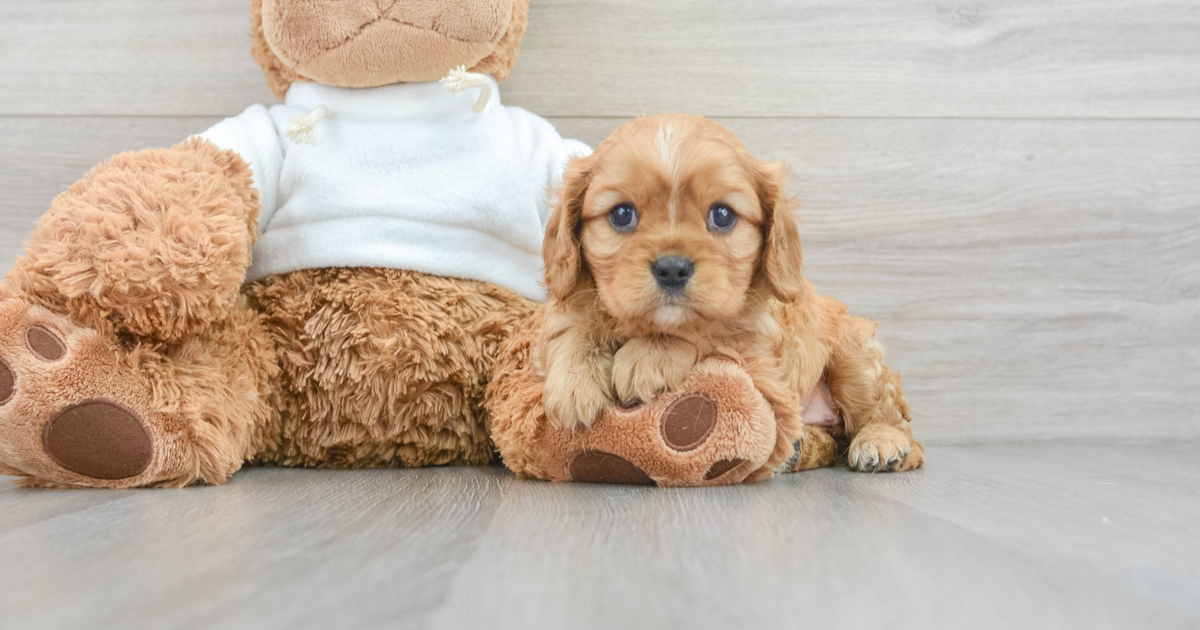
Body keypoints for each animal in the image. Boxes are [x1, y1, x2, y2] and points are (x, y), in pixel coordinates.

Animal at [540, 114, 921, 470]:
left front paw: (650, 356)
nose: (672, 268)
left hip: (855, 357)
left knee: (893, 419)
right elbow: (572, 326)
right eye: (621, 214)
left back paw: (882, 443)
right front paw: (574, 383)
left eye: (722, 215)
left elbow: (711, 329)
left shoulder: (755, 345)